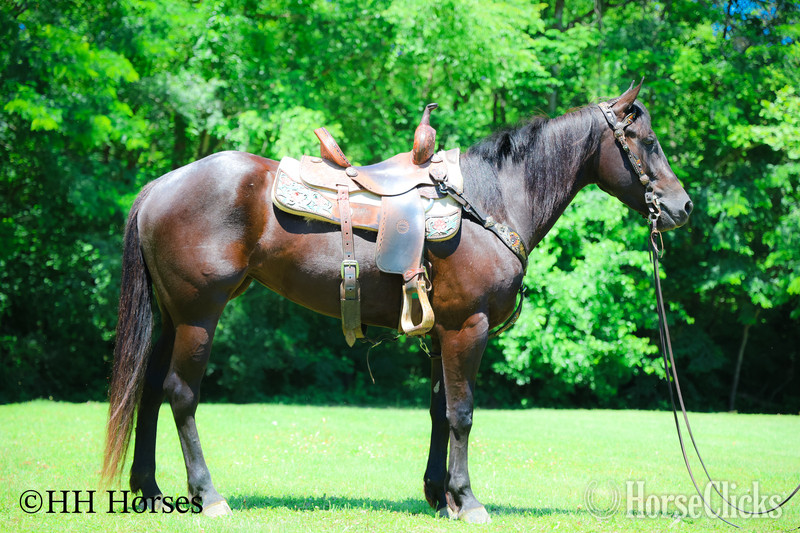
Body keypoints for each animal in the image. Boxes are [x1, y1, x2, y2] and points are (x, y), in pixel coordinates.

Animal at [101, 81, 692, 522]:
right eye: (644, 139)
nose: (682, 206)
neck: (491, 200)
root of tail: (161, 184)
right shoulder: (468, 326)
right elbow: (462, 413)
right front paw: (468, 501)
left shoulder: (441, 331)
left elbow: (438, 410)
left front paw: (440, 495)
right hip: (199, 315)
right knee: (180, 394)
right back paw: (208, 495)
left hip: (172, 318)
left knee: (149, 392)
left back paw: (152, 492)